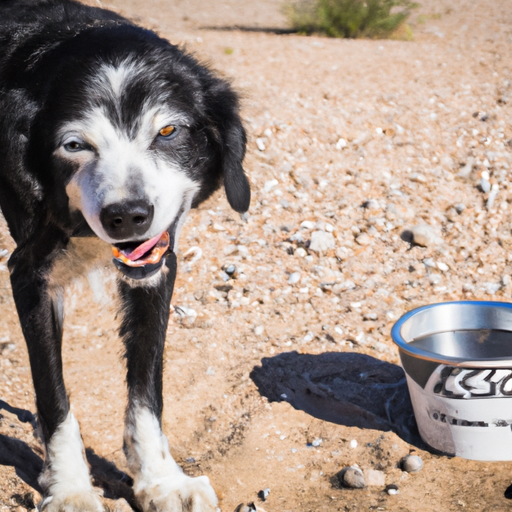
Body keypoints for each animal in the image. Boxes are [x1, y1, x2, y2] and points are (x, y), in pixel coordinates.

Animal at [0, 1, 250, 512]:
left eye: (169, 130)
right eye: (74, 145)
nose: (128, 216)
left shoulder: (156, 271)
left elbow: (145, 391)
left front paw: (161, 480)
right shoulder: (30, 276)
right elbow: (53, 395)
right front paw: (71, 488)